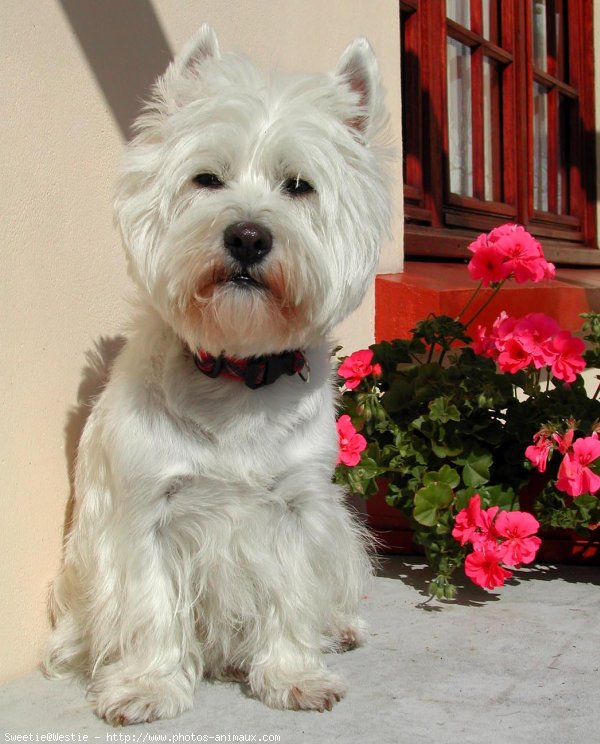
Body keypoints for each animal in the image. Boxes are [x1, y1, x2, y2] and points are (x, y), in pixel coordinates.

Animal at [41, 24, 390, 728]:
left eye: (298, 186)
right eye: (207, 179)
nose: (248, 237)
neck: (236, 373)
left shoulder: (297, 507)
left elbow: (292, 592)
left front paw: (294, 676)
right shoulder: (146, 510)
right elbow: (149, 604)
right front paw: (147, 686)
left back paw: (338, 630)